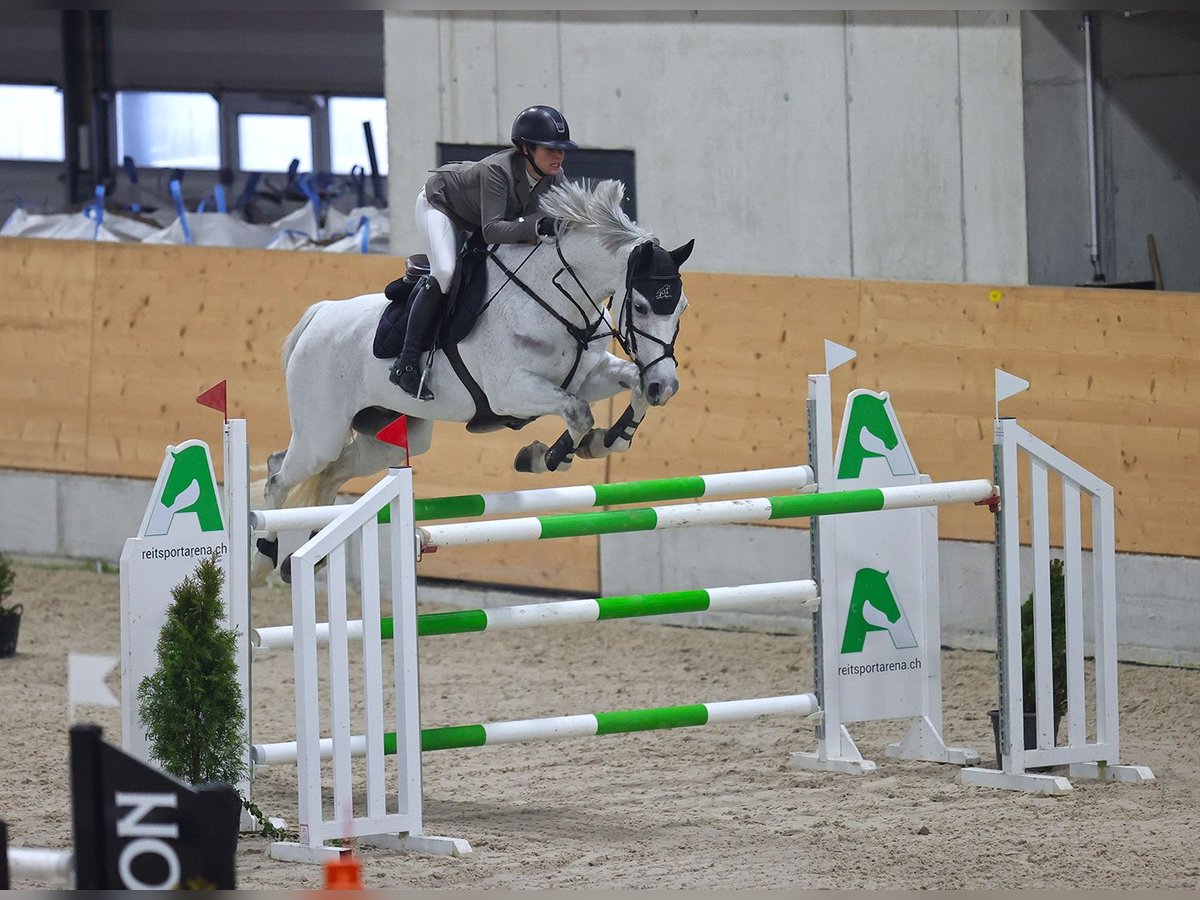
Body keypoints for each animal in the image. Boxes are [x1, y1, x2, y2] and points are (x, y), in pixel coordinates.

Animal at [256, 180, 700, 580]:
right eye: (640, 306)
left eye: (681, 306)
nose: (667, 387)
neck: (556, 296)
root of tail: (321, 314)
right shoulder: (511, 393)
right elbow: (578, 414)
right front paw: (545, 457)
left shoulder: (587, 375)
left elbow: (631, 385)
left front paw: (609, 440)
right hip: (322, 434)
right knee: (279, 475)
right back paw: (265, 556)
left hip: (391, 438)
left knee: (329, 475)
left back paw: (307, 554)